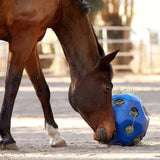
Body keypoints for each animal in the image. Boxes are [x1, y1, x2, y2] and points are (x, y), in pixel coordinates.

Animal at [0, 0, 118, 150]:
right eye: (108, 87)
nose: (113, 133)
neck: (59, 4)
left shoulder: (30, 43)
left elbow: (42, 89)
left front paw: (55, 135)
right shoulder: (22, 40)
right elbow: (12, 85)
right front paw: (7, 137)